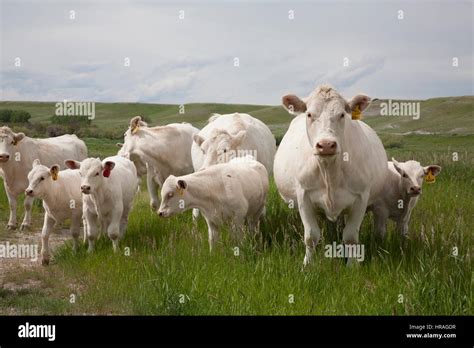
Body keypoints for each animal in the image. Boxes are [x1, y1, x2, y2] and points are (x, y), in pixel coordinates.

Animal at [274, 85, 388, 266]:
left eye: (342, 114)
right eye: (309, 114)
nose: (326, 145)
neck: (329, 172)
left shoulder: (361, 198)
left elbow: (350, 237)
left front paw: (352, 265)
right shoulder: (303, 196)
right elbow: (311, 236)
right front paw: (307, 265)